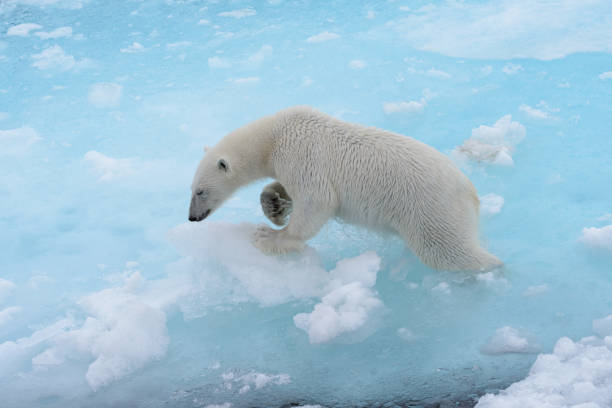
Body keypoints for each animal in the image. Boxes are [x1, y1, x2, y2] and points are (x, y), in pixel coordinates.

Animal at [188, 106, 502, 270]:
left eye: (200, 191)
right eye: (191, 189)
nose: (192, 217)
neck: (273, 137)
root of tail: (471, 192)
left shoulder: (301, 153)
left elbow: (317, 200)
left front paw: (269, 236)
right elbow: (287, 189)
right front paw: (274, 206)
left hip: (431, 210)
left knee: (449, 253)